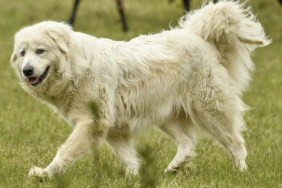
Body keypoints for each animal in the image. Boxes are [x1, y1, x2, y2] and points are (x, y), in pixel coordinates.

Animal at [11, 0, 270, 178]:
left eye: (40, 51)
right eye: (22, 53)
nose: (26, 71)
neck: (75, 66)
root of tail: (199, 37)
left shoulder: (92, 123)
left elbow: (64, 152)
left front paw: (44, 174)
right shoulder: (111, 128)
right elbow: (128, 158)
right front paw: (135, 177)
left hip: (209, 111)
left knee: (235, 142)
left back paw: (241, 171)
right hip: (165, 114)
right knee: (187, 143)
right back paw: (173, 168)